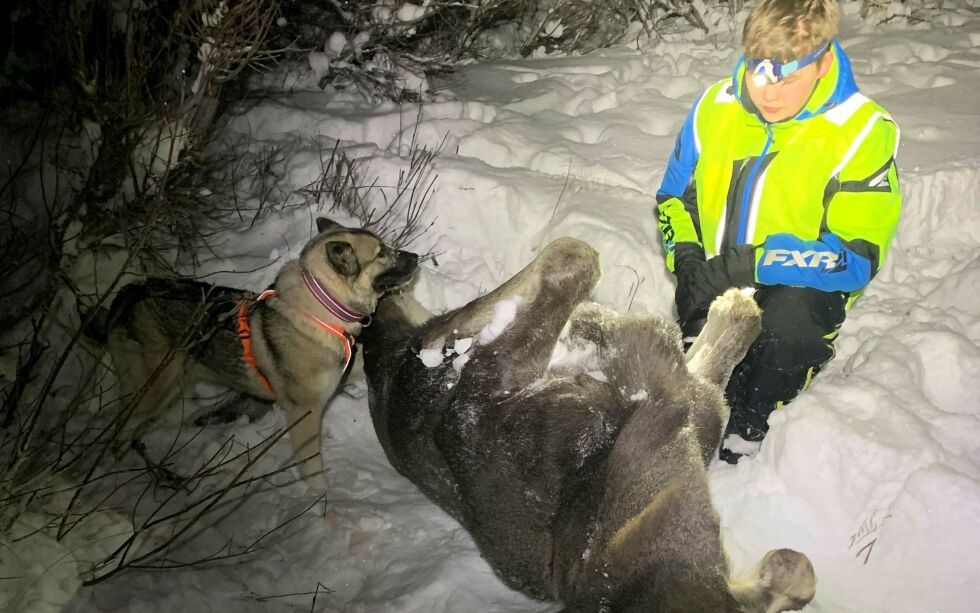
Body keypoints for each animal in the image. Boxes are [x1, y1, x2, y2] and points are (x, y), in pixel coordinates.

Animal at [85, 216, 418, 488]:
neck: (322, 307)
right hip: (152, 391)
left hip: (171, 387)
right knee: (121, 429)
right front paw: (321, 504)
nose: (416, 257)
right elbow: (312, 467)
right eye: (380, 253)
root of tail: (129, 291)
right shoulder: (305, 412)